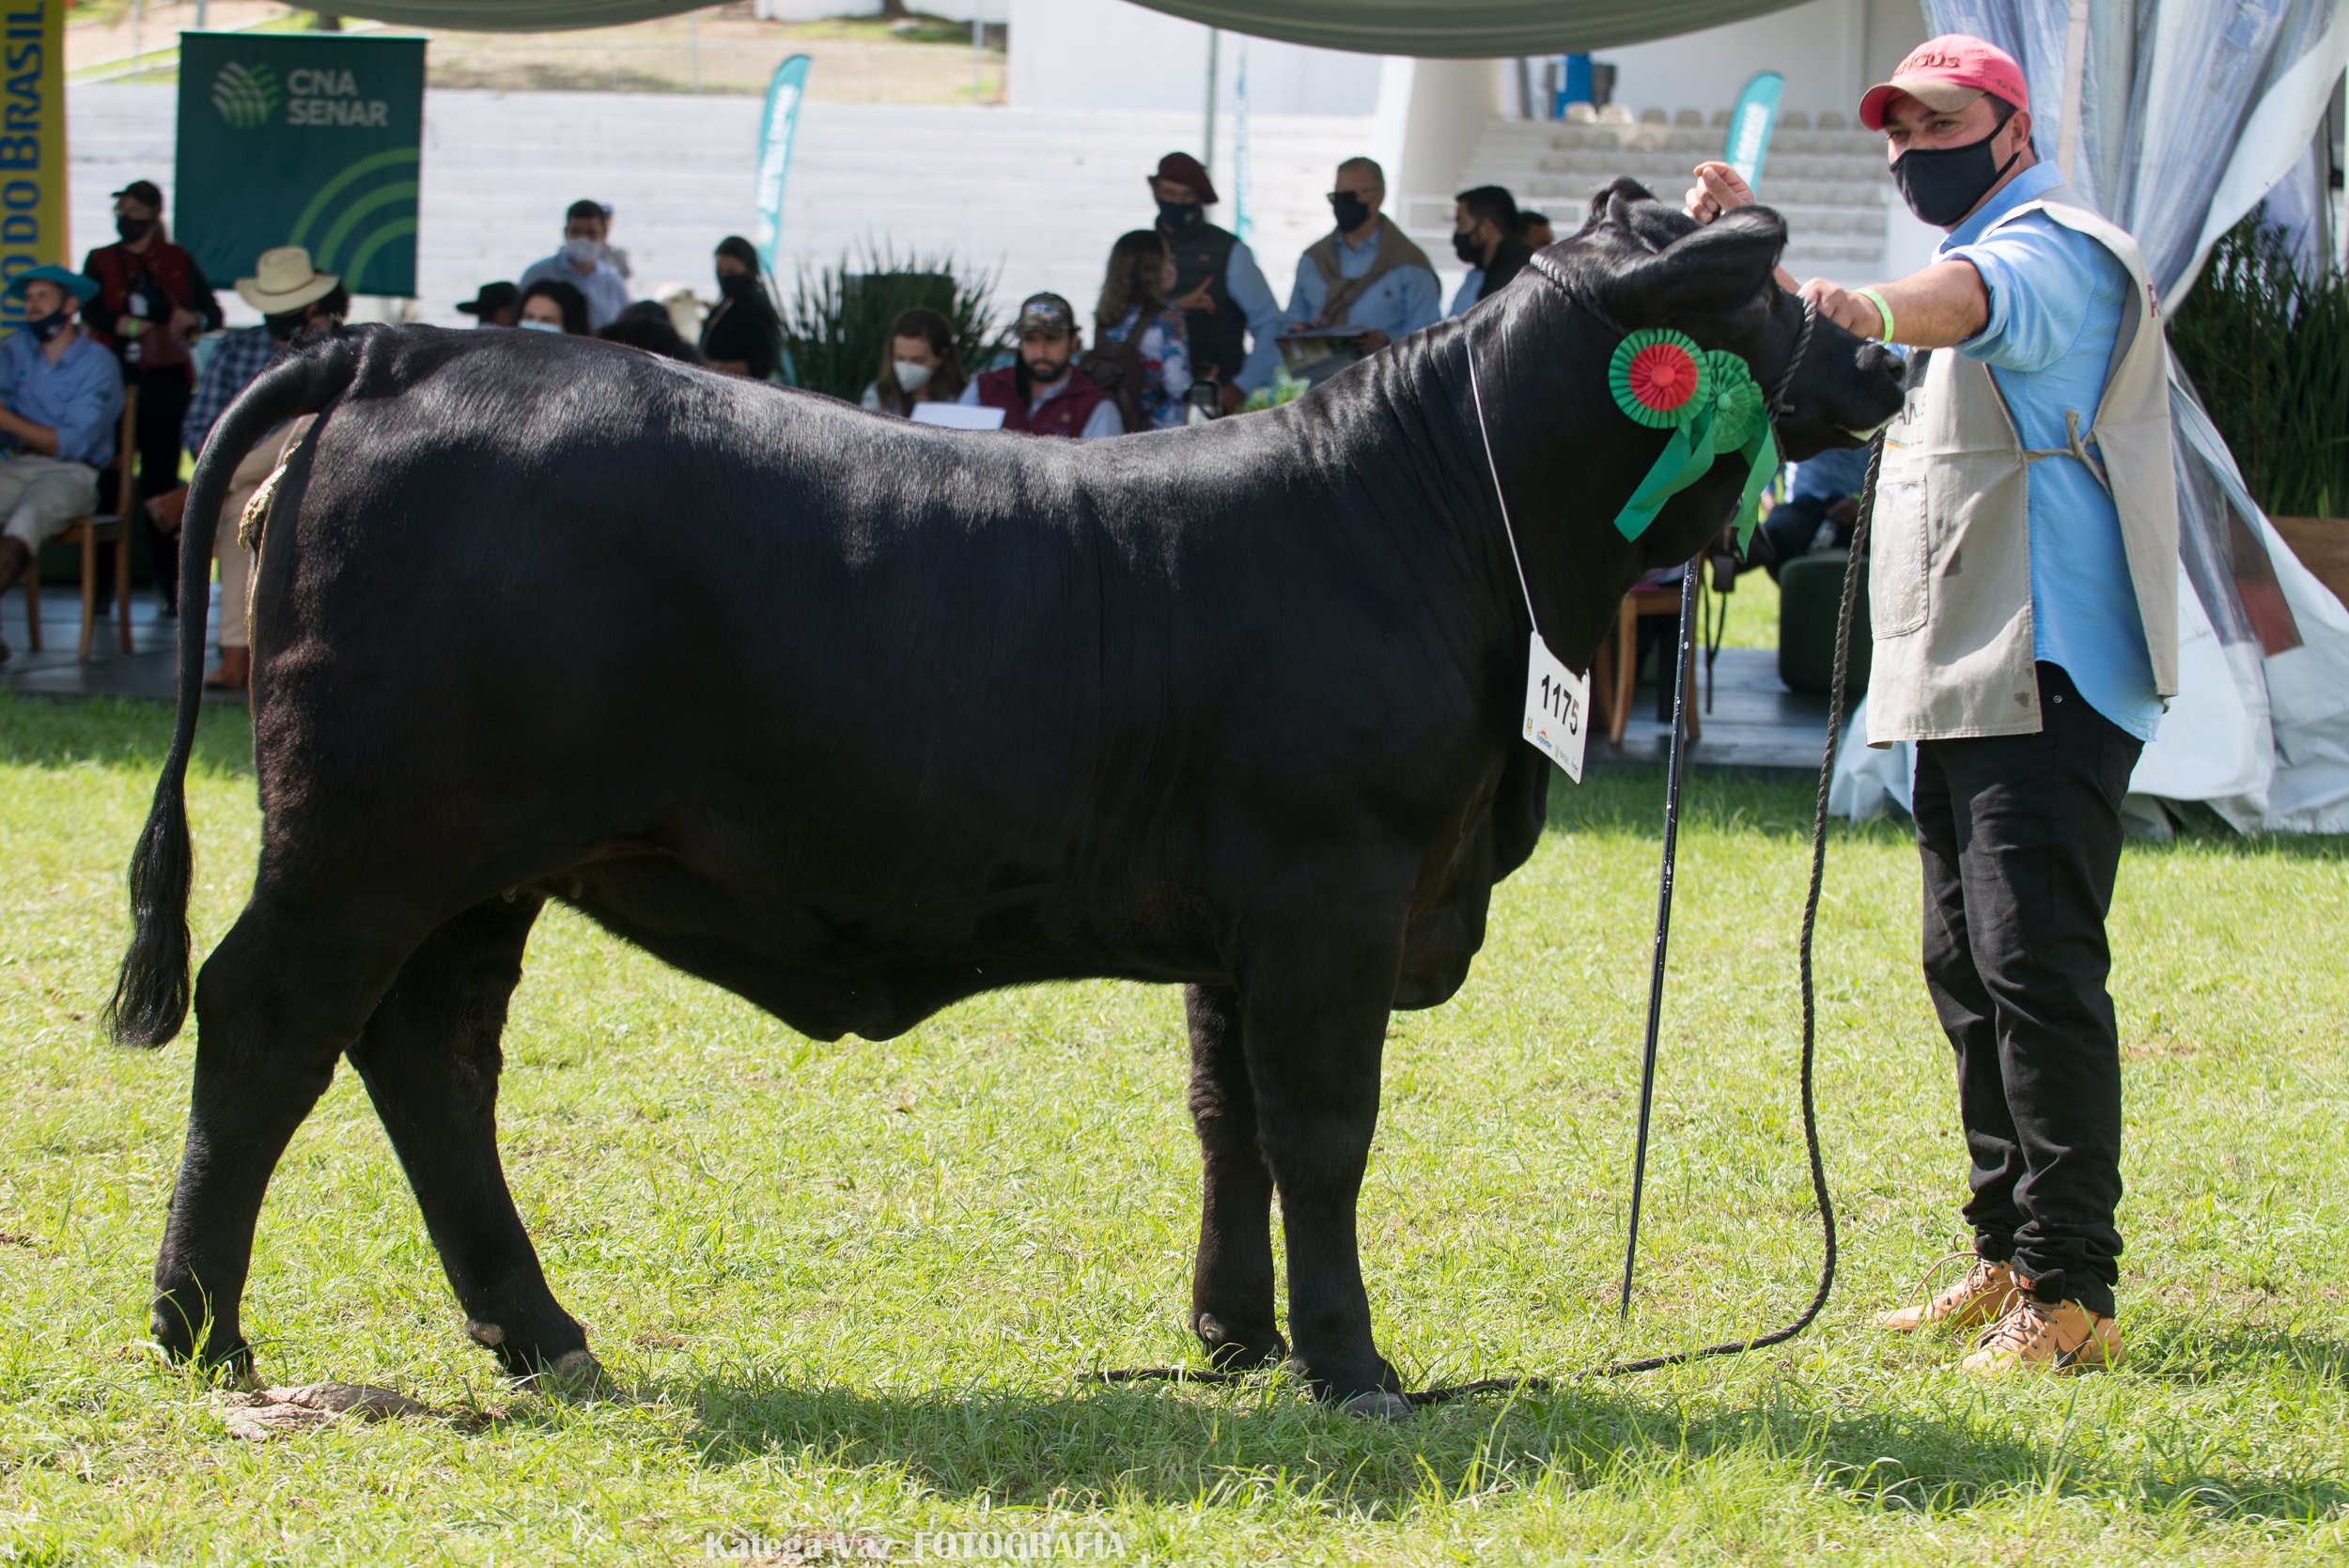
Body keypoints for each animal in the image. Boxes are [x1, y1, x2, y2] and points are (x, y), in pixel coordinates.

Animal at [110, 177, 1907, 1418]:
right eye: (1762, 286)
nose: (1883, 359)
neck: (1435, 522)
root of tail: (402, 342)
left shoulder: (1247, 925)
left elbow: (1231, 1124)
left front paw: (1234, 1335)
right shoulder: (1333, 888)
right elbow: (1323, 1131)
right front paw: (1352, 1364)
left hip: (484, 866)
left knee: (431, 1059)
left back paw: (542, 1334)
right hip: (371, 836)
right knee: (268, 1020)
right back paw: (204, 1326)